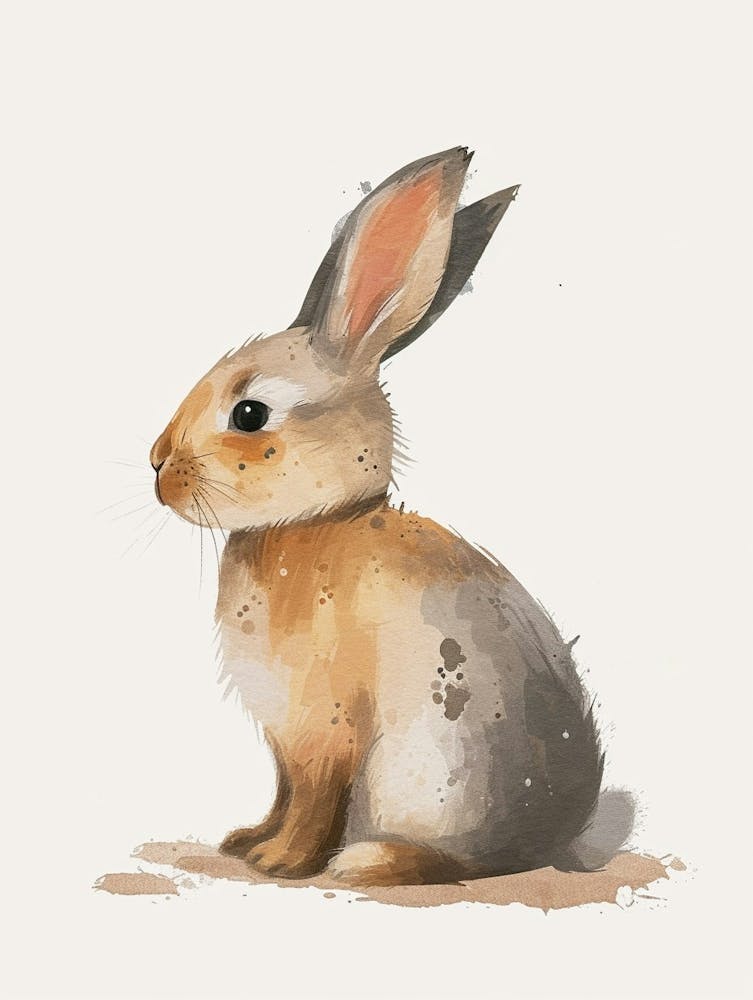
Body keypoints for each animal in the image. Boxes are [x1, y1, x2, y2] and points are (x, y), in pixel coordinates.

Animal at [149, 147, 603, 886]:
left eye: (249, 414)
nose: (157, 464)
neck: (314, 521)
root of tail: (548, 843)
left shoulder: (323, 728)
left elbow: (311, 800)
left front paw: (281, 861)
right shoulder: (284, 740)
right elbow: (283, 793)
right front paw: (247, 840)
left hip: (429, 775)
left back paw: (363, 861)